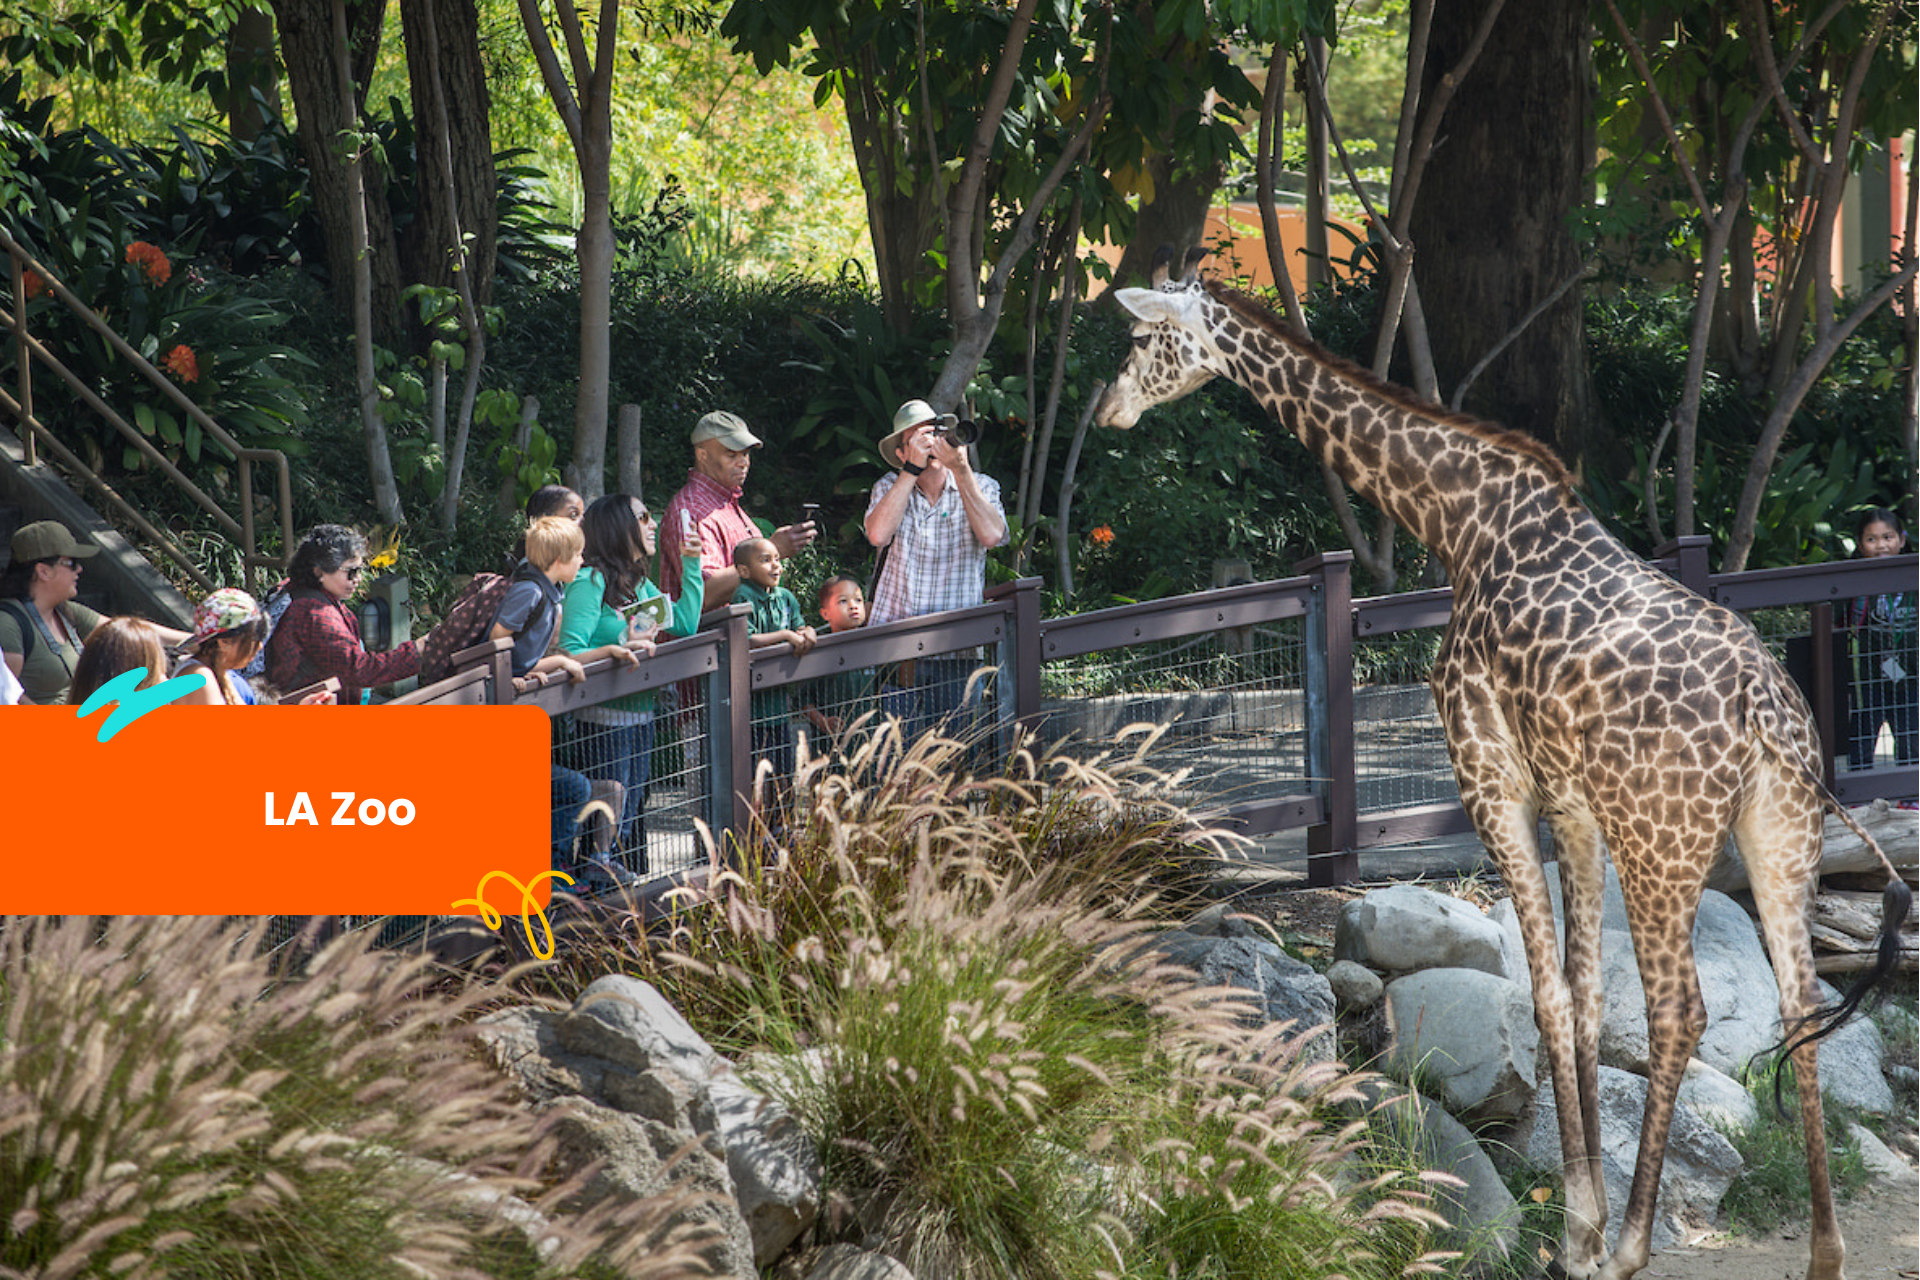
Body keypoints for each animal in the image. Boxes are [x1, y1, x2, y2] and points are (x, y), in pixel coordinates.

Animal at [1105, 255, 1912, 1280]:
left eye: (1141, 337)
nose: (1111, 408)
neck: (1455, 519)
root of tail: (1768, 718)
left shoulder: (1493, 781)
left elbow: (1547, 992)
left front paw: (1581, 1233)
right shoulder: (1572, 804)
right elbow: (1584, 994)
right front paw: (1584, 1219)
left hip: (1663, 846)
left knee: (1682, 1010)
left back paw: (1636, 1244)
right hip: (1779, 835)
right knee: (1802, 1000)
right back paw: (1823, 1254)